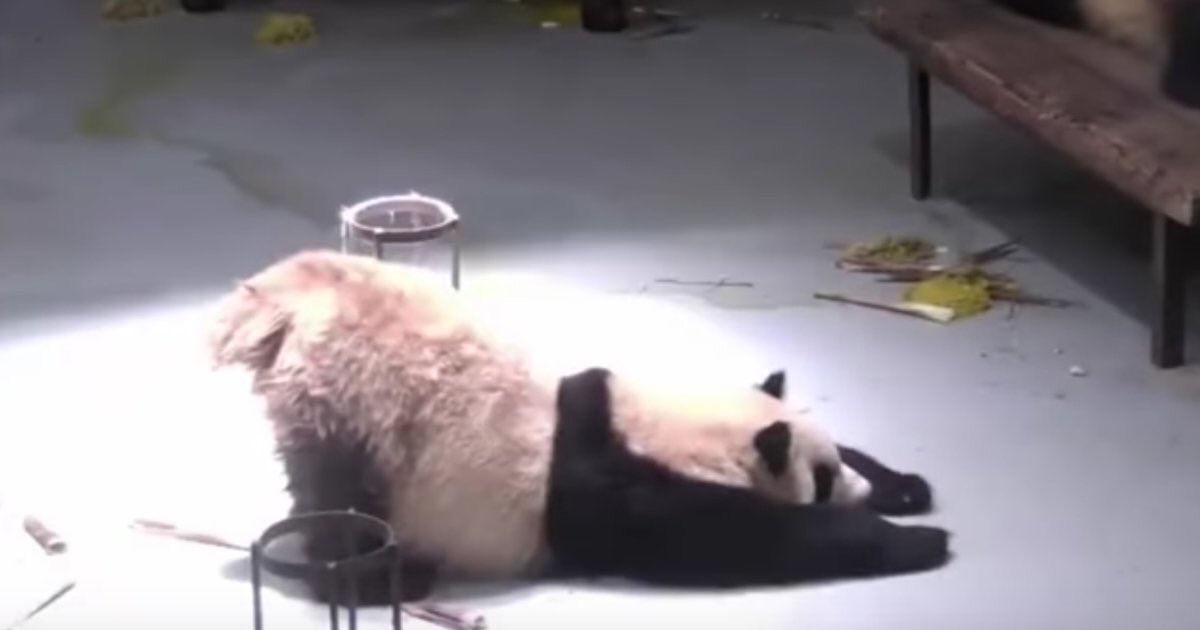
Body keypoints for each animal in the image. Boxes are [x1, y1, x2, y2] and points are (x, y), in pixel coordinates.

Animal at [206, 249, 950, 602]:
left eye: (833, 465)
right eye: (819, 479)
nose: (854, 490)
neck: (658, 425)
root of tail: (283, 299)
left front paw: (904, 488)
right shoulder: (613, 490)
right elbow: (739, 541)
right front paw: (916, 539)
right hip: (353, 409)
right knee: (340, 499)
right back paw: (373, 581)